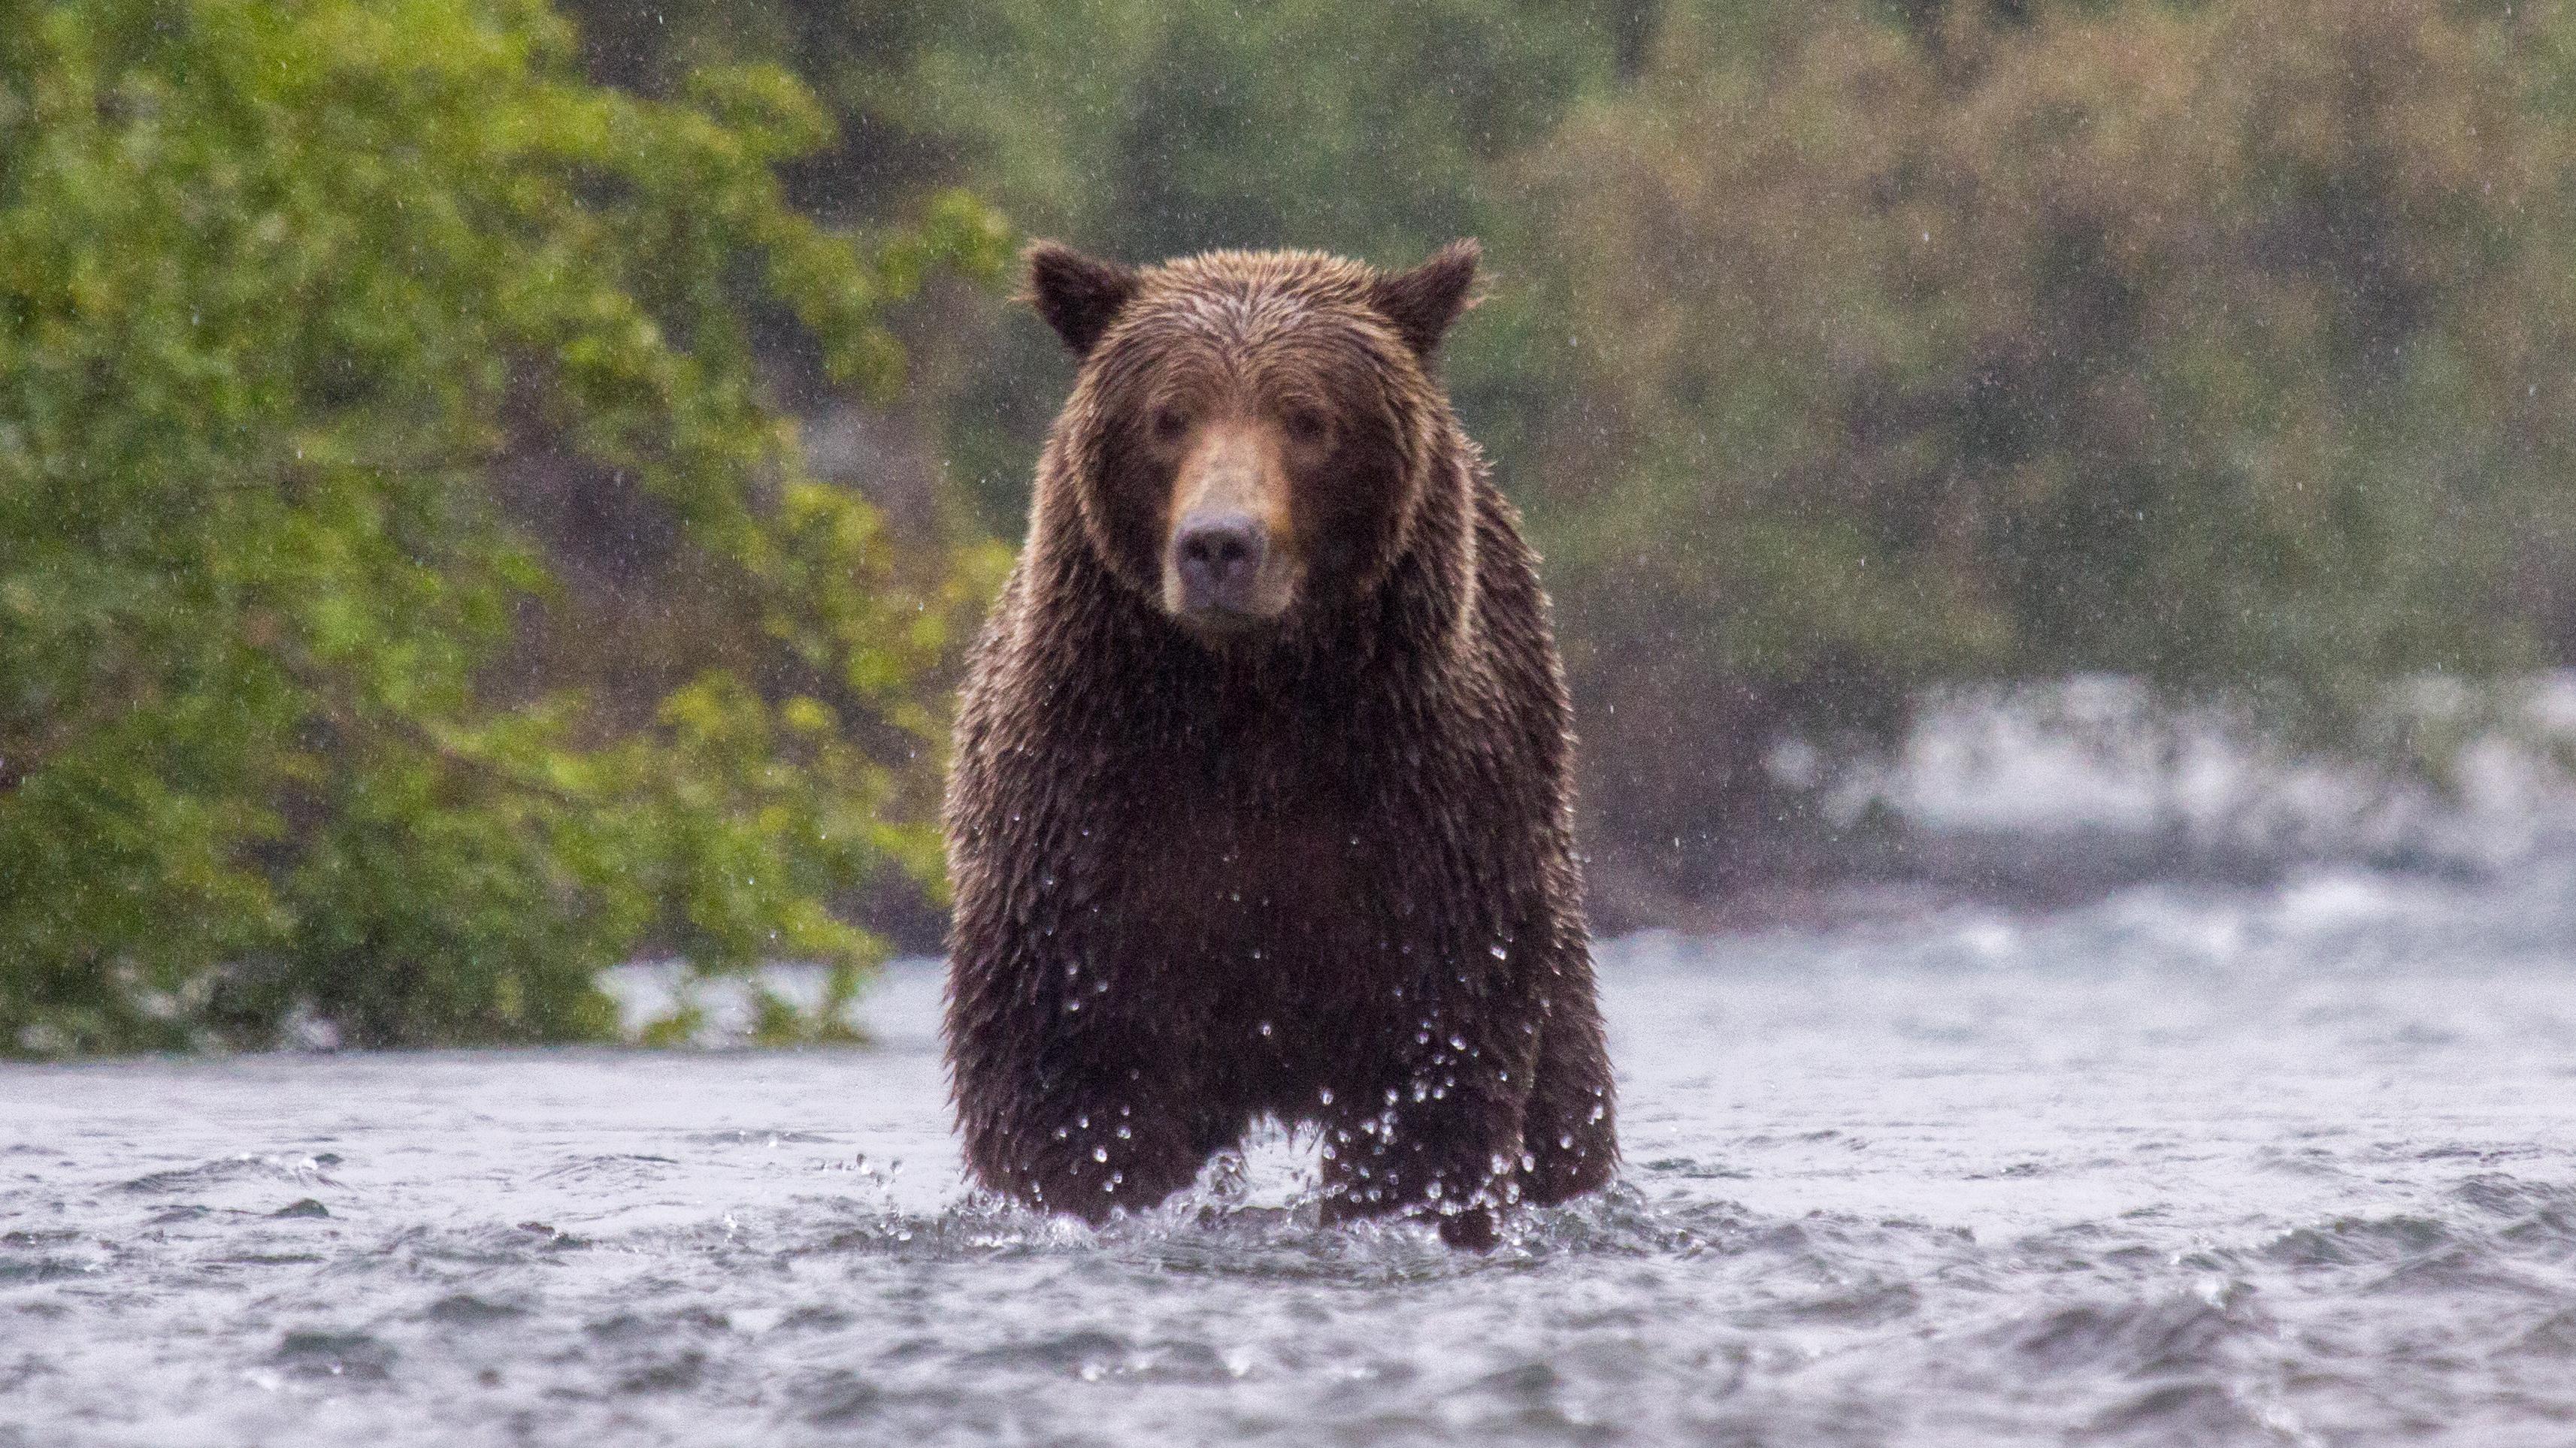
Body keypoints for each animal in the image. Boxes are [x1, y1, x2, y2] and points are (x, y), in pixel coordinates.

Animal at [942, 239, 1616, 1248]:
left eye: (1308, 418)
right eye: (1167, 417)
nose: (1219, 546)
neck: (1253, 706)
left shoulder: (1429, 821)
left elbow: (1434, 1066)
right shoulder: (1087, 815)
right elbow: (1071, 1071)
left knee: (1564, 1099)